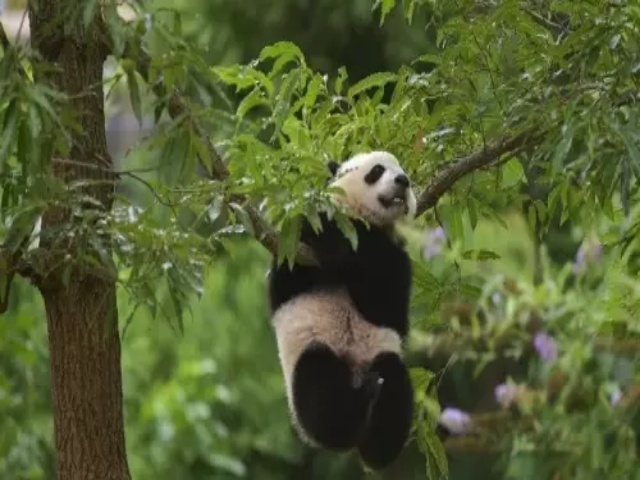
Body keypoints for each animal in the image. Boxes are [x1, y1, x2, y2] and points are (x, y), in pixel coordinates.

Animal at [267, 150, 417, 470]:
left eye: (403, 170)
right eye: (377, 170)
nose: (403, 180)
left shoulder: (397, 261)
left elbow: (386, 306)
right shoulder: (300, 237)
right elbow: (297, 266)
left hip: (378, 354)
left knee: (394, 382)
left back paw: (378, 444)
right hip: (311, 350)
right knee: (319, 388)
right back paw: (354, 411)